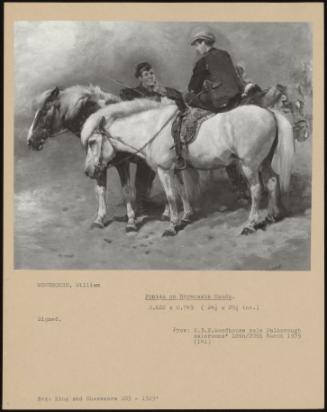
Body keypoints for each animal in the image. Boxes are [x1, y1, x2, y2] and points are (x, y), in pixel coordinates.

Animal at [81, 97, 294, 235]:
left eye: (92, 142)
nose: (88, 171)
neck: (153, 128)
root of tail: (269, 113)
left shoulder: (164, 170)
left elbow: (171, 196)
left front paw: (172, 225)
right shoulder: (177, 169)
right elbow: (182, 192)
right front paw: (186, 216)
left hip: (249, 165)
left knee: (256, 190)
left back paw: (250, 224)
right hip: (263, 162)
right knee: (272, 181)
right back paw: (272, 215)